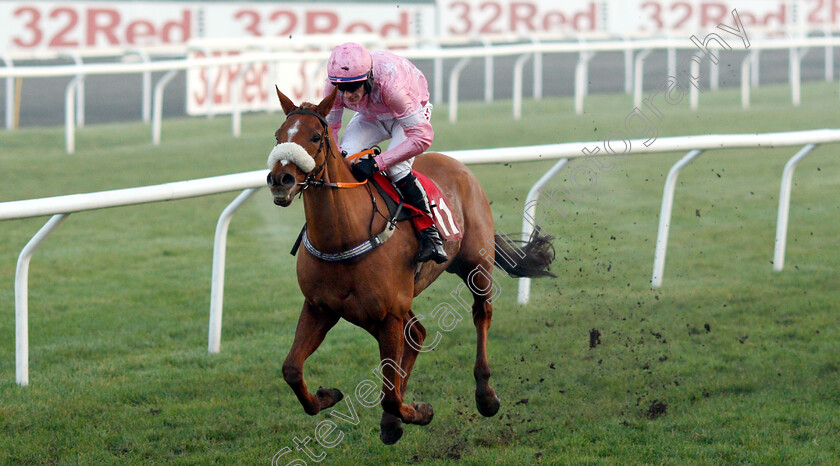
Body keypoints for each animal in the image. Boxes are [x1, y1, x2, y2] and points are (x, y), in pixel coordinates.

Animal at [270, 86, 556, 444]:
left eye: (315, 136)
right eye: (278, 135)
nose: (280, 179)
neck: (343, 237)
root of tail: (458, 165)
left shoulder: (387, 314)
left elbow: (389, 395)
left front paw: (419, 412)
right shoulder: (320, 308)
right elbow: (292, 369)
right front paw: (328, 396)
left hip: (475, 265)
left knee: (481, 315)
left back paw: (485, 395)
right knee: (417, 332)